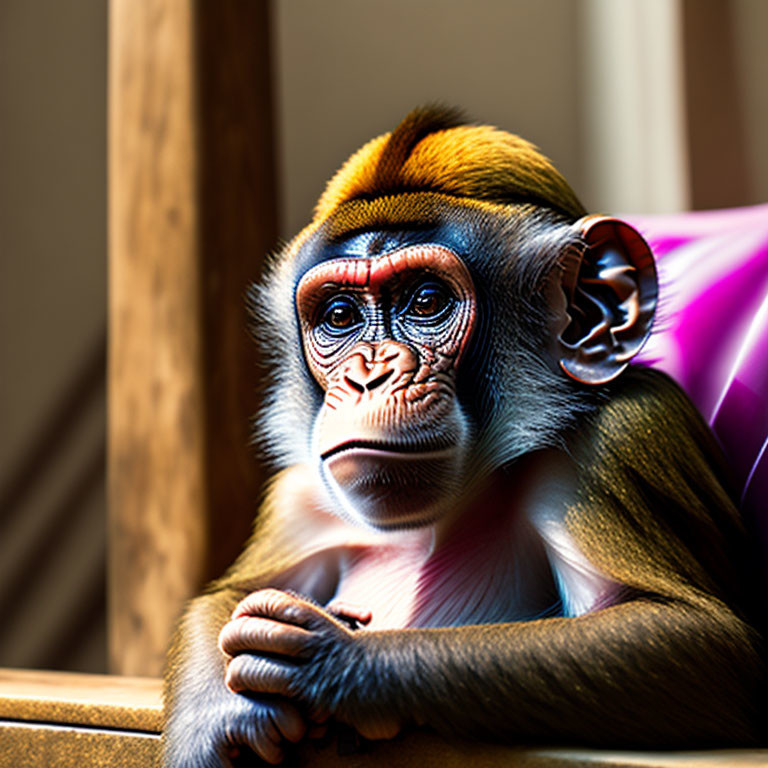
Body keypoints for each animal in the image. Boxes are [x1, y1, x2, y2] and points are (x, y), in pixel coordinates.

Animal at [162, 109, 760, 768]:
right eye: (340, 316)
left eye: (426, 301)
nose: (369, 374)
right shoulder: (300, 500)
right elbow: (230, 592)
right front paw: (215, 717)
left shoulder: (620, 439)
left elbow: (694, 639)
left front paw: (334, 660)